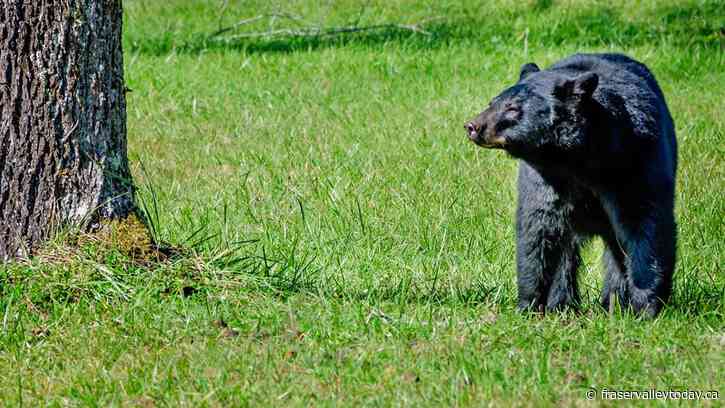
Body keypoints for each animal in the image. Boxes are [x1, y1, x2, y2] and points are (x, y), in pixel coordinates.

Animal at [464, 53, 677, 318]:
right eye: (492, 102)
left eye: (512, 108)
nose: (473, 126)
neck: (576, 160)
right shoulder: (545, 179)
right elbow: (537, 231)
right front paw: (529, 305)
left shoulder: (635, 161)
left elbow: (644, 225)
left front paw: (645, 308)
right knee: (566, 252)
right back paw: (563, 303)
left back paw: (613, 303)